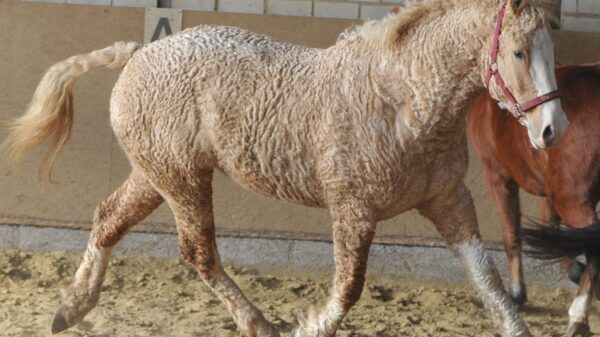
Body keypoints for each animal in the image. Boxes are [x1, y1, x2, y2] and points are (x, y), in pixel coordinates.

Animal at [2, 0, 568, 336]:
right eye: (519, 52)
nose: (551, 131)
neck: (402, 101)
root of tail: (141, 52)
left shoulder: (449, 202)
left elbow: (491, 286)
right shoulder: (353, 210)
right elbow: (348, 289)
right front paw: (306, 325)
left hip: (156, 175)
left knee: (107, 220)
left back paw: (71, 308)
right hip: (183, 180)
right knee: (198, 252)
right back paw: (257, 323)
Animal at [468, 63, 600, 336]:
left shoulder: (498, 177)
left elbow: (512, 234)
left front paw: (517, 294)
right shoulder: (548, 190)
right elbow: (551, 230)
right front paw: (576, 271)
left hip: (573, 201)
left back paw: (578, 317)